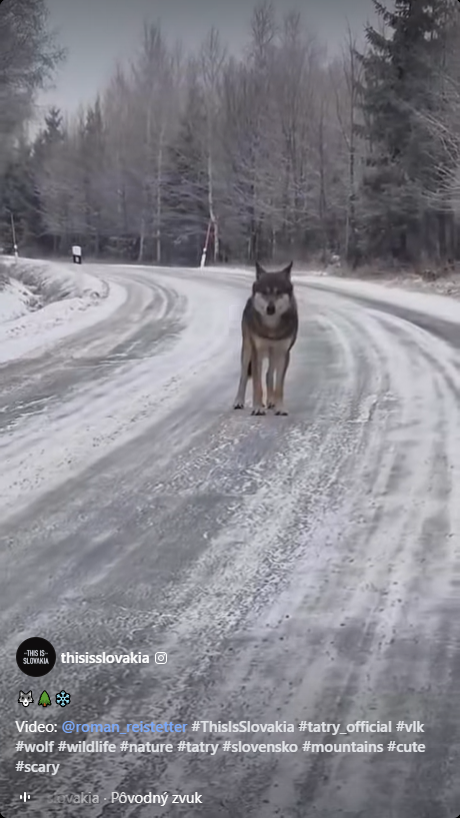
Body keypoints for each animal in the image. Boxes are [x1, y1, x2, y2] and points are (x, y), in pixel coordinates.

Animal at [234, 262, 298, 414]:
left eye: (278, 292)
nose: (270, 308)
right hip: (247, 350)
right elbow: (257, 385)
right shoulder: (257, 351)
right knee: (243, 376)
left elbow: (279, 385)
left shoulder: (283, 353)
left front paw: (280, 408)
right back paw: (239, 402)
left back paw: (270, 401)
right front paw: (257, 408)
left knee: (269, 375)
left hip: (273, 353)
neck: (271, 328)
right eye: (264, 292)